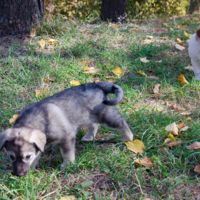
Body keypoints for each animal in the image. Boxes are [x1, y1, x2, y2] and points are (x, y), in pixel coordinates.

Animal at [0, 82, 134, 176]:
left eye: (27, 156)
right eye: (11, 156)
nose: (18, 174)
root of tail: (97, 84)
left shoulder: (66, 138)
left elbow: (67, 154)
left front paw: (67, 166)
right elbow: (37, 156)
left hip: (106, 117)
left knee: (121, 123)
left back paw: (128, 138)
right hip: (88, 116)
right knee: (94, 125)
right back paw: (89, 137)